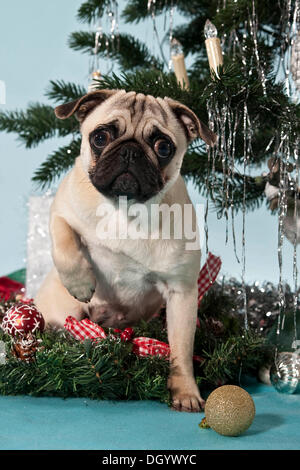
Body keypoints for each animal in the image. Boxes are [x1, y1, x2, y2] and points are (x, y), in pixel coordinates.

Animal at [35, 89, 216, 412]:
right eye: (100, 137)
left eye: (163, 146)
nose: (130, 151)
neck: (126, 209)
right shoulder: (60, 211)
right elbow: (64, 241)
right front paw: (80, 282)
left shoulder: (181, 293)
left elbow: (181, 351)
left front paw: (185, 391)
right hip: (63, 310)